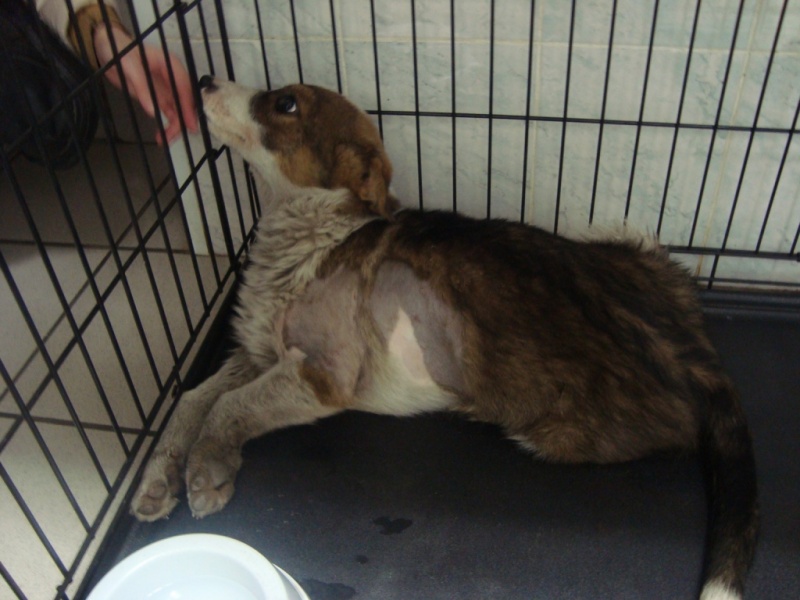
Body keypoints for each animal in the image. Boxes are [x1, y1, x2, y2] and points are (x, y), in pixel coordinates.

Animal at [130, 77, 758, 600]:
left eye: (286, 103)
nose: (203, 79)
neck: (311, 231)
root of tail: (697, 353)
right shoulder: (258, 352)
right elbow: (193, 400)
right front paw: (159, 478)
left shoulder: (321, 376)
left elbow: (231, 405)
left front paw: (207, 470)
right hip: (629, 238)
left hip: (551, 428)